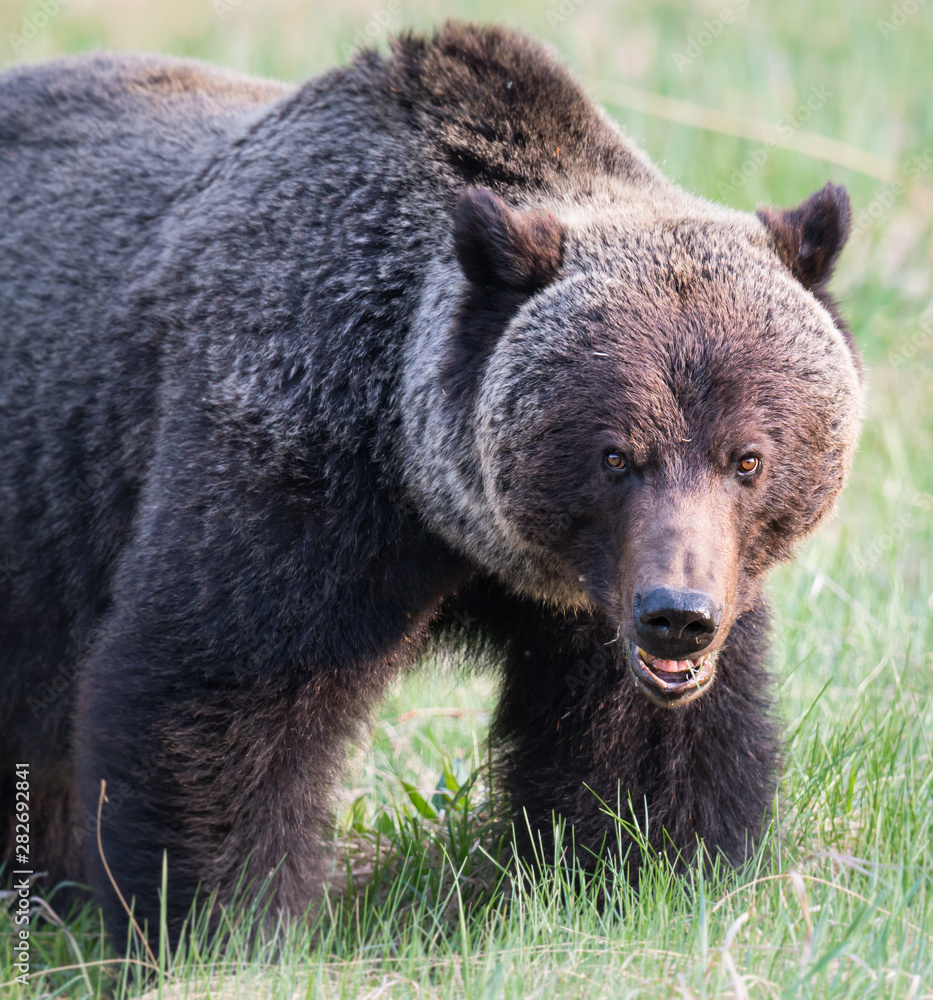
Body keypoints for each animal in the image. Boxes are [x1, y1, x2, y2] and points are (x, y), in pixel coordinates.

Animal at [0, 22, 862, 948]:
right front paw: (224, 920)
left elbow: (641, 746)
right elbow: (217, 689)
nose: (677, 615)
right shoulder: (290, 463)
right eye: (614, 455)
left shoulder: (608, 601)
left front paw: (650, 874)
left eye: (747, 458)